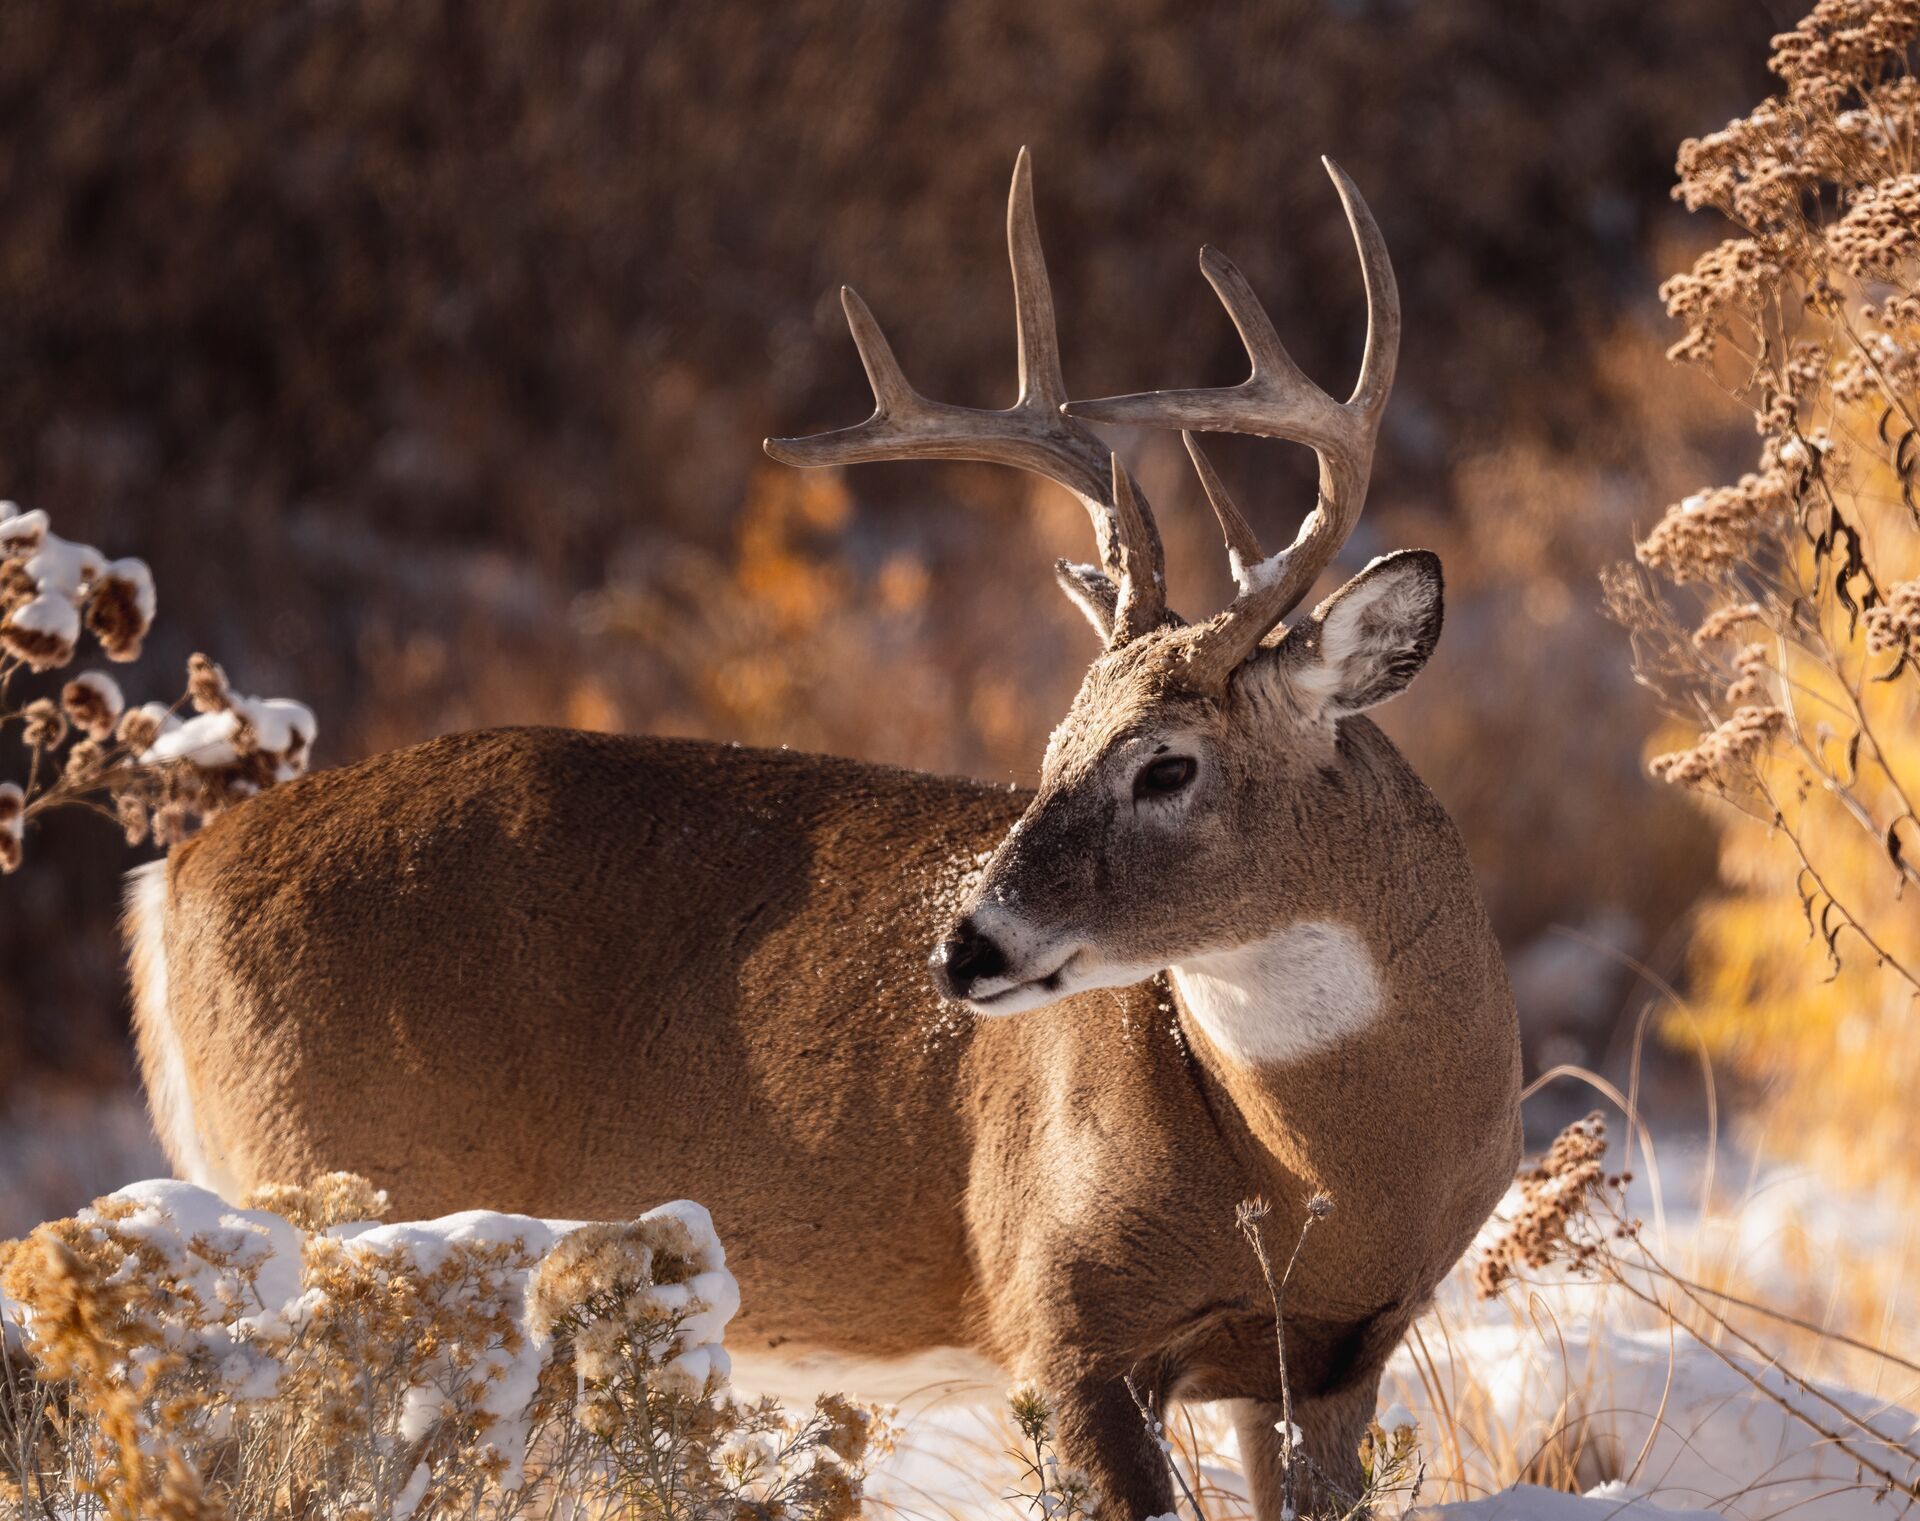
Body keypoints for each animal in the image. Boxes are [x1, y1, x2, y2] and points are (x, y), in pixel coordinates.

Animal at [124, 150, 1522, 1511]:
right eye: (1055, 749)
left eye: (1166, 764)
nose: (966, 950)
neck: (1324, 1178)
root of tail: (173, 876)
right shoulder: (1064, 1313)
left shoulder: (1337, 1354)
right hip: (351, 1183)